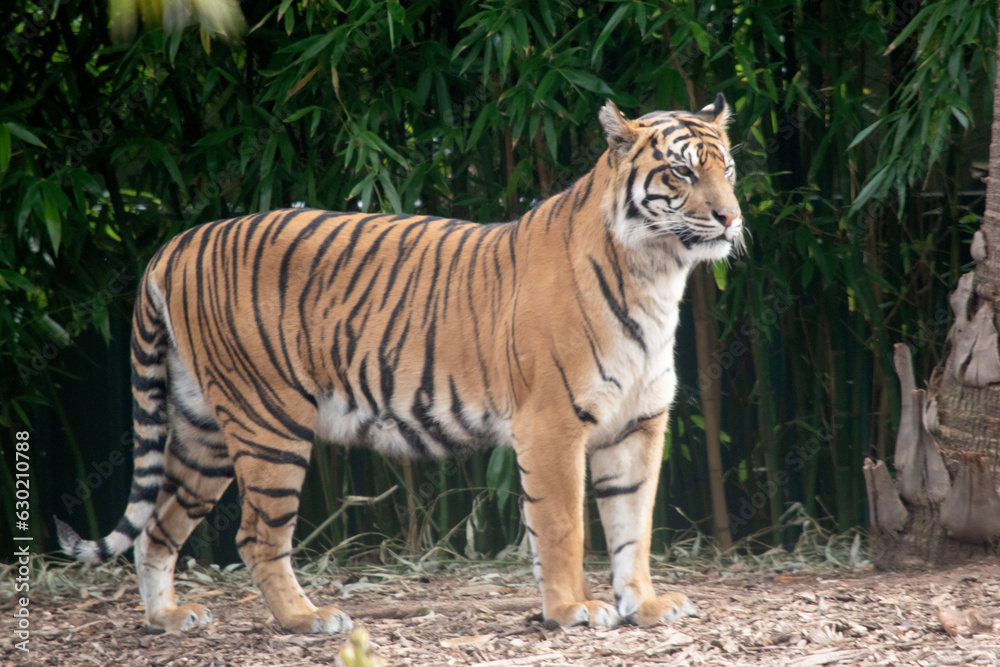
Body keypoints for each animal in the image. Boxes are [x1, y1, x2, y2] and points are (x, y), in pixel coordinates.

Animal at [55, 94, 743, 634]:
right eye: (680, 173)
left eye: (728, 170)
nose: (731, 217)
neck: (657, 274)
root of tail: (174, 243)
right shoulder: (552, 425)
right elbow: (563, 526)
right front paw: (573, 610)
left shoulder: (638, 424)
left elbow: (633, 525)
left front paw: (644, 606)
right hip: (269, 423)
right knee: (255, 535)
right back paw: (307, 619)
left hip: (206, 431)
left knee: (158, 525)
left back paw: (167, 618)